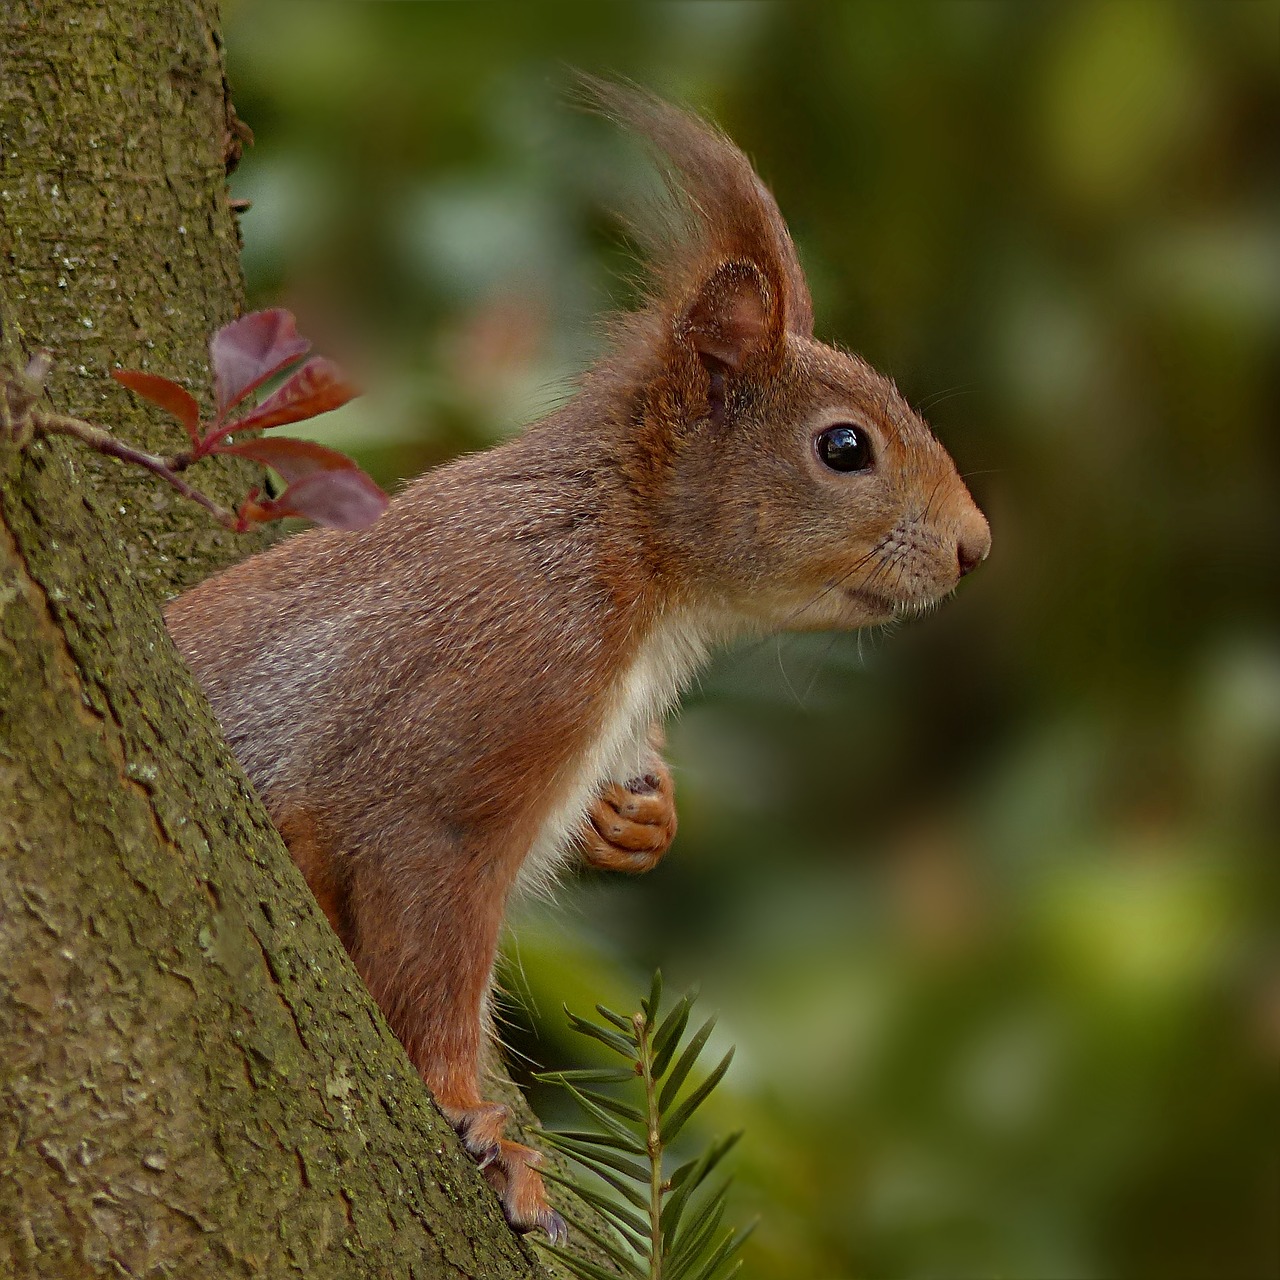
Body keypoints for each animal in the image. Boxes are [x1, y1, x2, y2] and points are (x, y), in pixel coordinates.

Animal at [167, 82, 988, 1239]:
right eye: (843, 448)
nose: (975, 545)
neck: (629, 558)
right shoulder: (496, 691)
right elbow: (427, 933)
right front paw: (478, 1124)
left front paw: (642, 815)